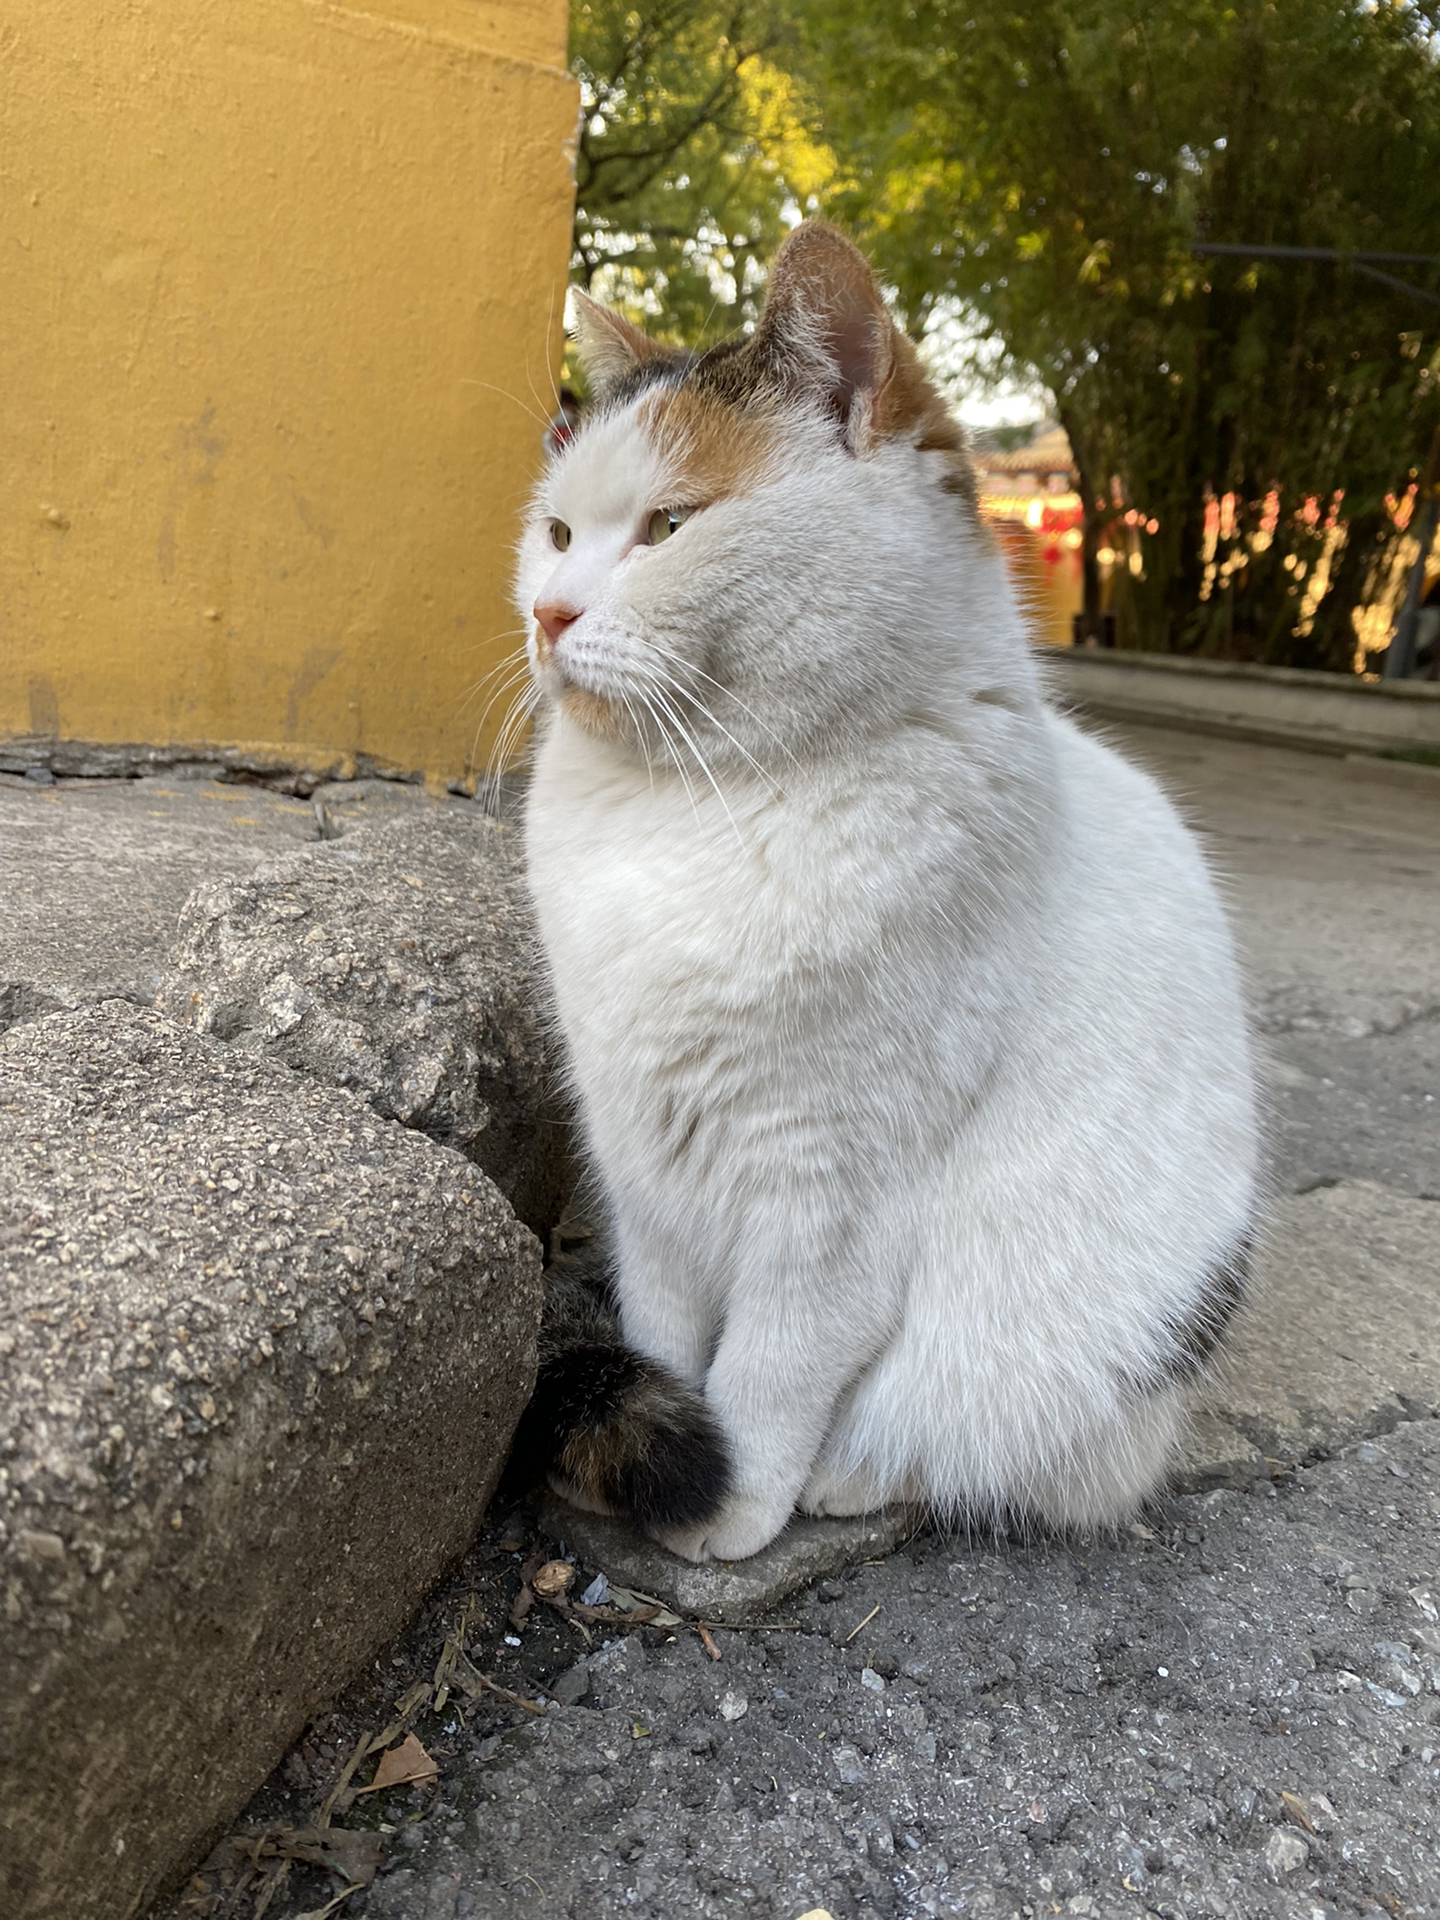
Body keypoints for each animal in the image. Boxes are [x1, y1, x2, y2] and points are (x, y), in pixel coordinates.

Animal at [514, 224, 1259, 1566]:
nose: (550, 614)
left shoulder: (831, 1198)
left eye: (667, 525)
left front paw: (729, 1506)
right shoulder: (644, 1164)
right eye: (554, 533)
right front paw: (653, 1444)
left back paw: (847, 1476)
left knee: (992, 1442)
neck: (688, 812)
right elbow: (661, 1328)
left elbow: (772, 1368)